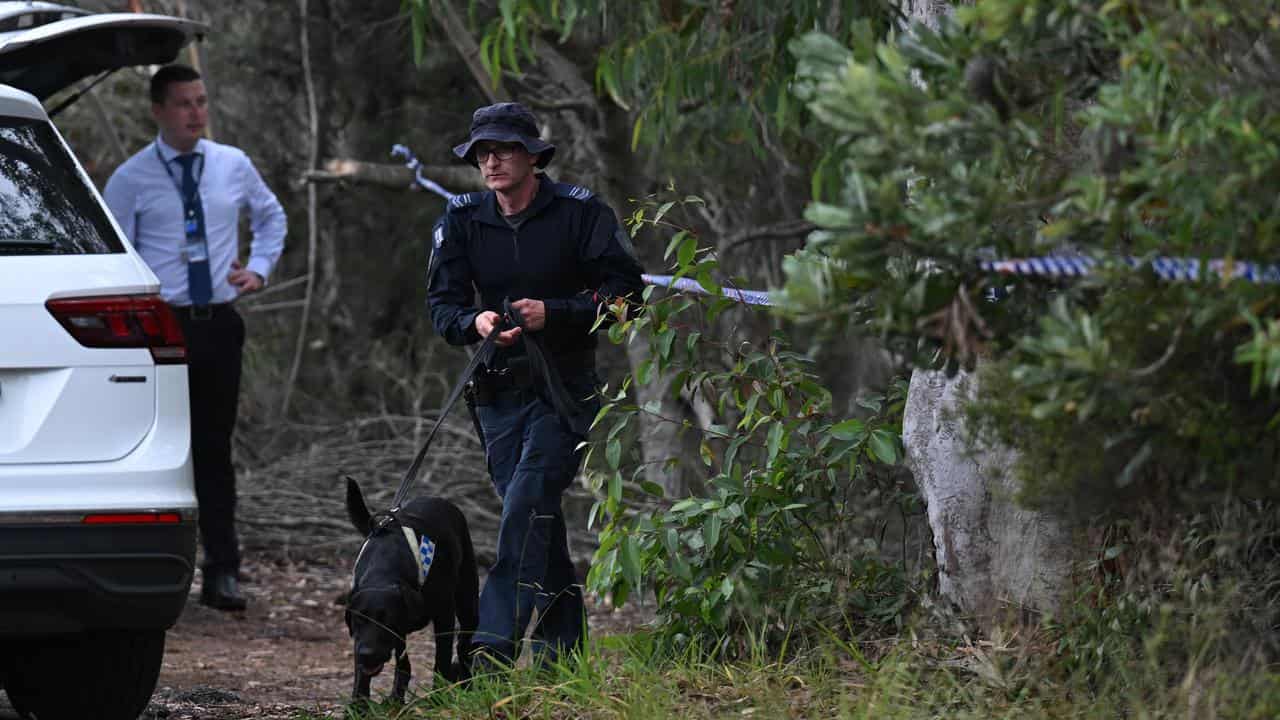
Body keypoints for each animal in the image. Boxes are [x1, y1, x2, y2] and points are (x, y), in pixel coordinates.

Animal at [343, 476, 478, 702]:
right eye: (358, 619)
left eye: (386, 620)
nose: (367, 654)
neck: (384, 570)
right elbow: (367, 669)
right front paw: (359, 703)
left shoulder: (444, 615)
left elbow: (441, 659)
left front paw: (438, 698)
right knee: (405, 664)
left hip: (467, 601)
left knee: (464, 644)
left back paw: (467, 682)